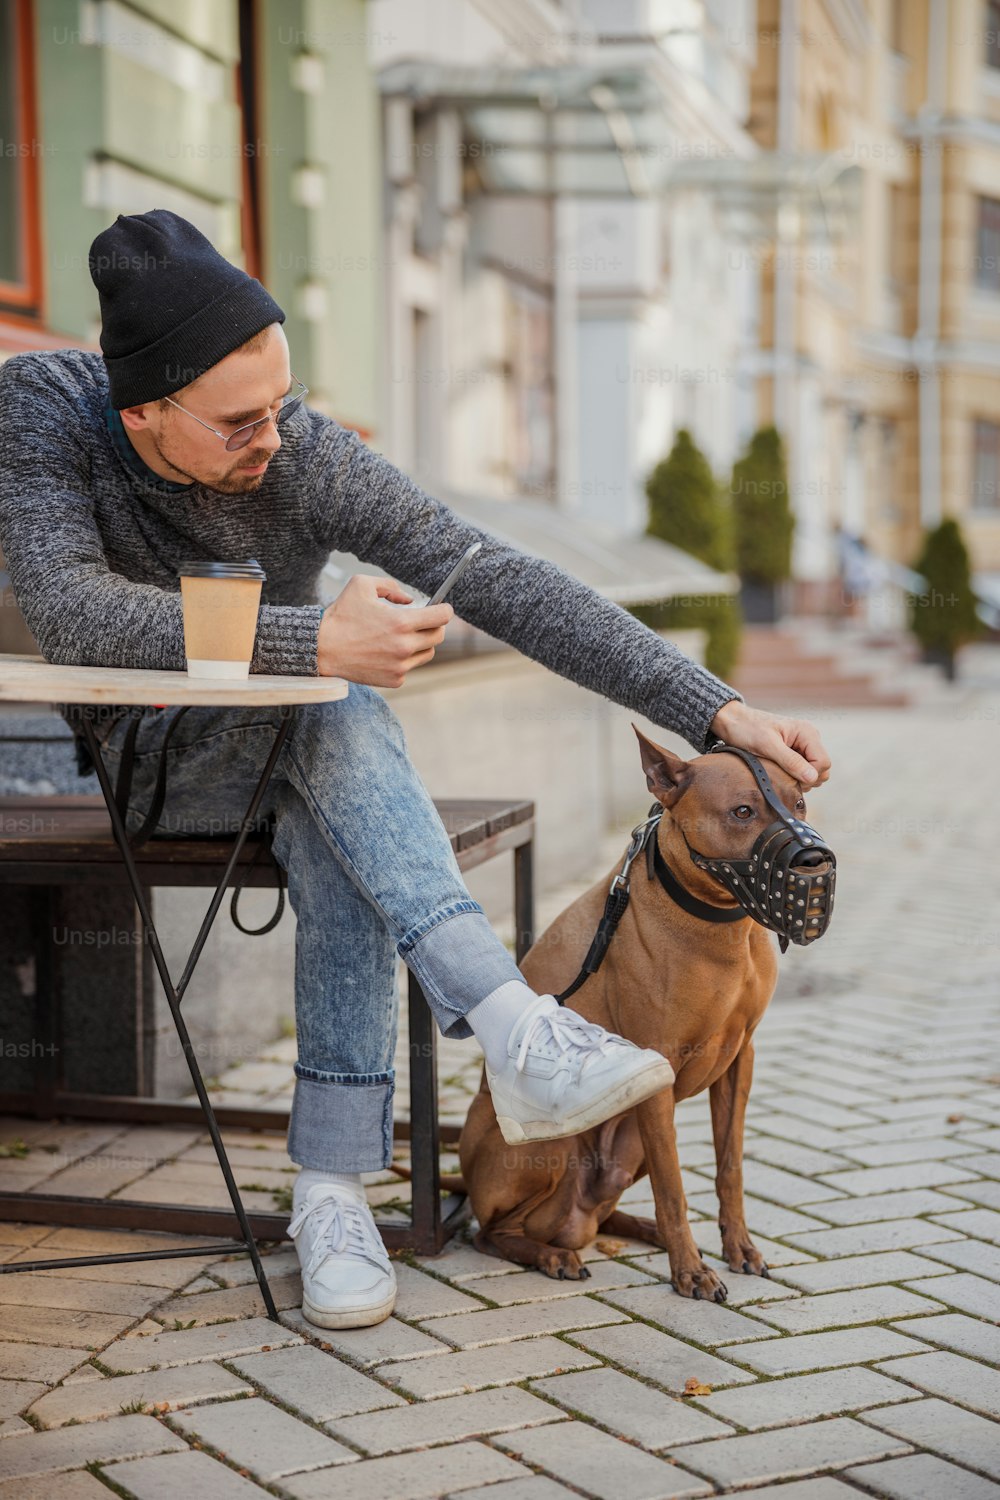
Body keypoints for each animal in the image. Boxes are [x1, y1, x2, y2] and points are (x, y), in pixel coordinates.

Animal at [458, 720, 833, 1296]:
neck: (718, 924)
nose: (814, 862)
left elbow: (729, 1168)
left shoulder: (741, 1060)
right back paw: (552, 1255)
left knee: (600, 1215)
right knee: (492, 1231)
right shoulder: (659, 1072)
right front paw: (690, 1272)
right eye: (742, 811)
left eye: (800, 802)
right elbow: (673, 1183)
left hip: (626, 1147)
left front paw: (736, 1247)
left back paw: (640, 1230)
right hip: (552, 1146)